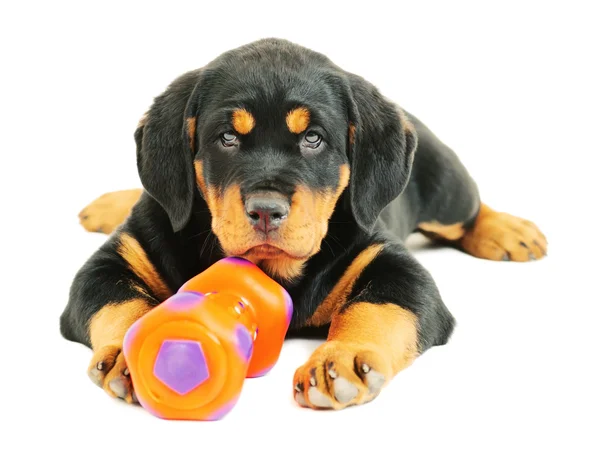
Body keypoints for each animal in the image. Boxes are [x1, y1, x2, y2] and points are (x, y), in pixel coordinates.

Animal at [62, 39, 548, 410]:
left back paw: (509, 230)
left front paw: (343, 360)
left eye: (313, 138)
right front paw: (125, 355)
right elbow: (121, 305)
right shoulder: (114, 260)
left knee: (470, 209)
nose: (265, 210)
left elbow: (376, 310)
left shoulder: (395, 267)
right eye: (227, 138)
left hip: (448, 190)